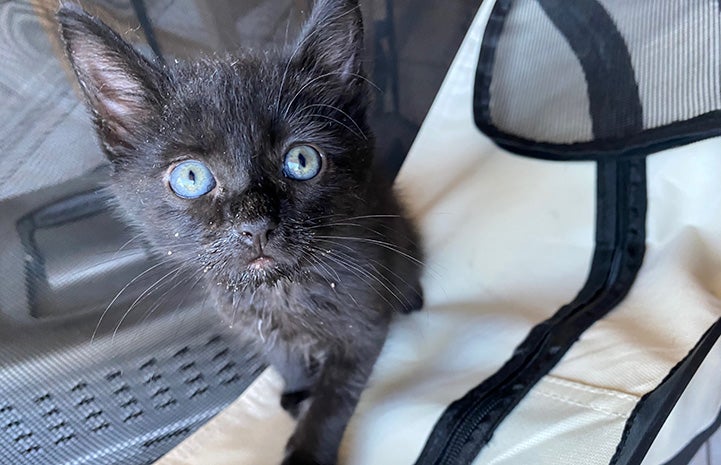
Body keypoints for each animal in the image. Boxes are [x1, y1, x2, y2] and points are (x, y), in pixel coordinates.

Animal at [59, 0, 422, 460]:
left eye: (301, 161)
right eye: (191, 177)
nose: (255, 226)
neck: (279, 290)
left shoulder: (363, 322)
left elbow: (335, 397)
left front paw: (308, 447)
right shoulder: (255, 324)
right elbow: (285, 360)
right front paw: (298, 392)